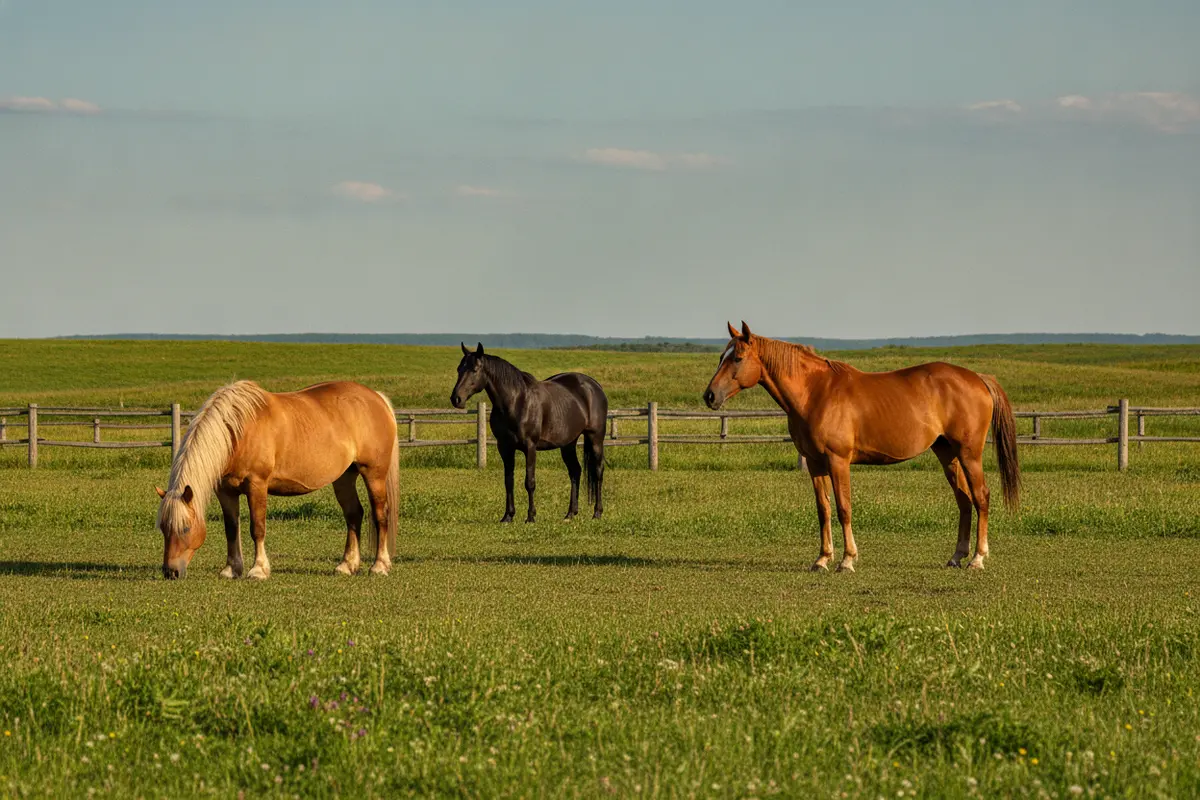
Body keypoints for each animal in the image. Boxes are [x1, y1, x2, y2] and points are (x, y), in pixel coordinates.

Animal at [155, 380, 400, 580]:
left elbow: (257, 527)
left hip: (374, 474)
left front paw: (258, 570)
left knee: (380, 515)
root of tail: (376, 398)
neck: (238, 430)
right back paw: (347, 566)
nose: (170, 572)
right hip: (344, 477)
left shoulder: (257, 485)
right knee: (353, 514)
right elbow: (231, 528)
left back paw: (379, 566)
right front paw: (231, 569)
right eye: (163, 528)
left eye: (185, 528)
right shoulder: (225, 490)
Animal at [450, 342, 608, 523]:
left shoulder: (530, 447)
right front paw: (508, 516)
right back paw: (570, 514)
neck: (516, 401)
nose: (456, 399)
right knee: (575, 471)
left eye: (475, 369)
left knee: (598, 471)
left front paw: (530, 517)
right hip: (568, 443)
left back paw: (597, 513)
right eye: (459, 369)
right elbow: (508, 481)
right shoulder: (505, 447)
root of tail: (594, 385)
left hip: (595, 439)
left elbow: (529, 482)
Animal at [704, 321, 1019, 572]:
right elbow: (823, 509)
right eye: (721, 356)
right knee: (964, 501)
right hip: (947, 453)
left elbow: (844, 507)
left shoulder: (838, 461)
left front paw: (847, 560)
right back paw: (956, 556)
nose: (710, 396)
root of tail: (978, 378)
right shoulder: (815, 463)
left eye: (738, 358)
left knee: (981, 497)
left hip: (969, 454)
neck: (815, 392)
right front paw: (822, 559)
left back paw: (977, 558)